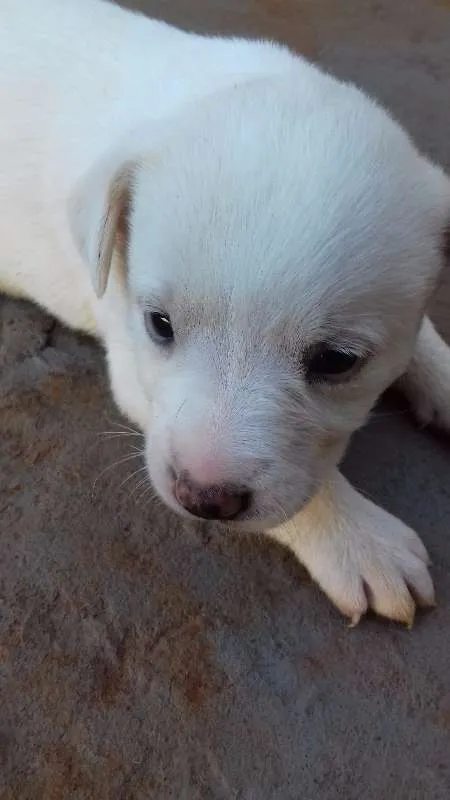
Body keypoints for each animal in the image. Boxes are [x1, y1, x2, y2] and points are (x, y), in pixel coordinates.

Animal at [0, 0, 450, 624]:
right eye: (159, 325)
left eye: (337, 361)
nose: (205, 500)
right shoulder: (137, 374)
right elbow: (307, 492)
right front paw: (357, 537)